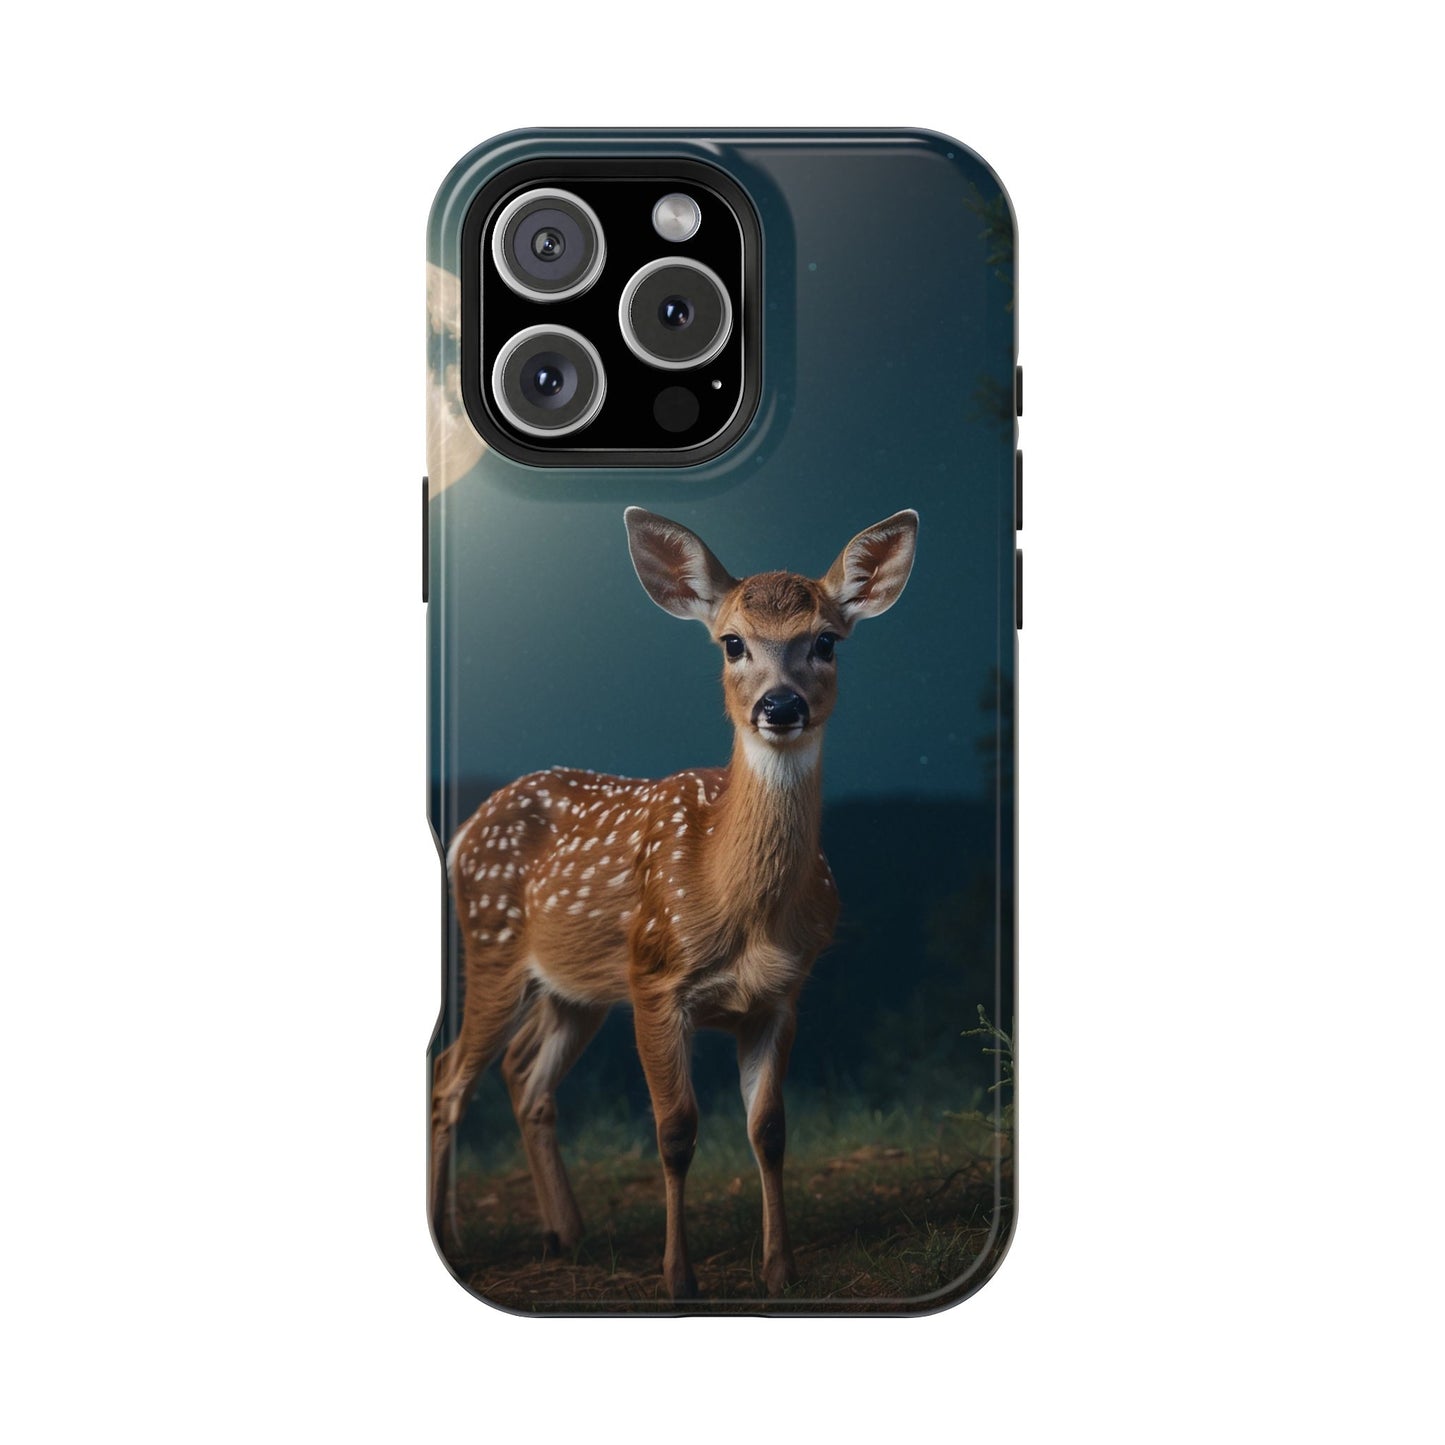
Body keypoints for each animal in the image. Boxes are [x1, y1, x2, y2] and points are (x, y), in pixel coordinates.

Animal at [430, 505, 918, 1299]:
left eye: (825, 641)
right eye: (731, 642)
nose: (779, 705)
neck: (739, 906)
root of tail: (466, 831)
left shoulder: (781, 994)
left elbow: (769, 1130)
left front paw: (780, 1271)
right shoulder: (657, 980)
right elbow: (675, 1130)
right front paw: (678, 1277)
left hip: (578, 988)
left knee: (524, 1076)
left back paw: (565, 1234)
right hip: (495, 946)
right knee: (450, 1075)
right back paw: (456, 1241)